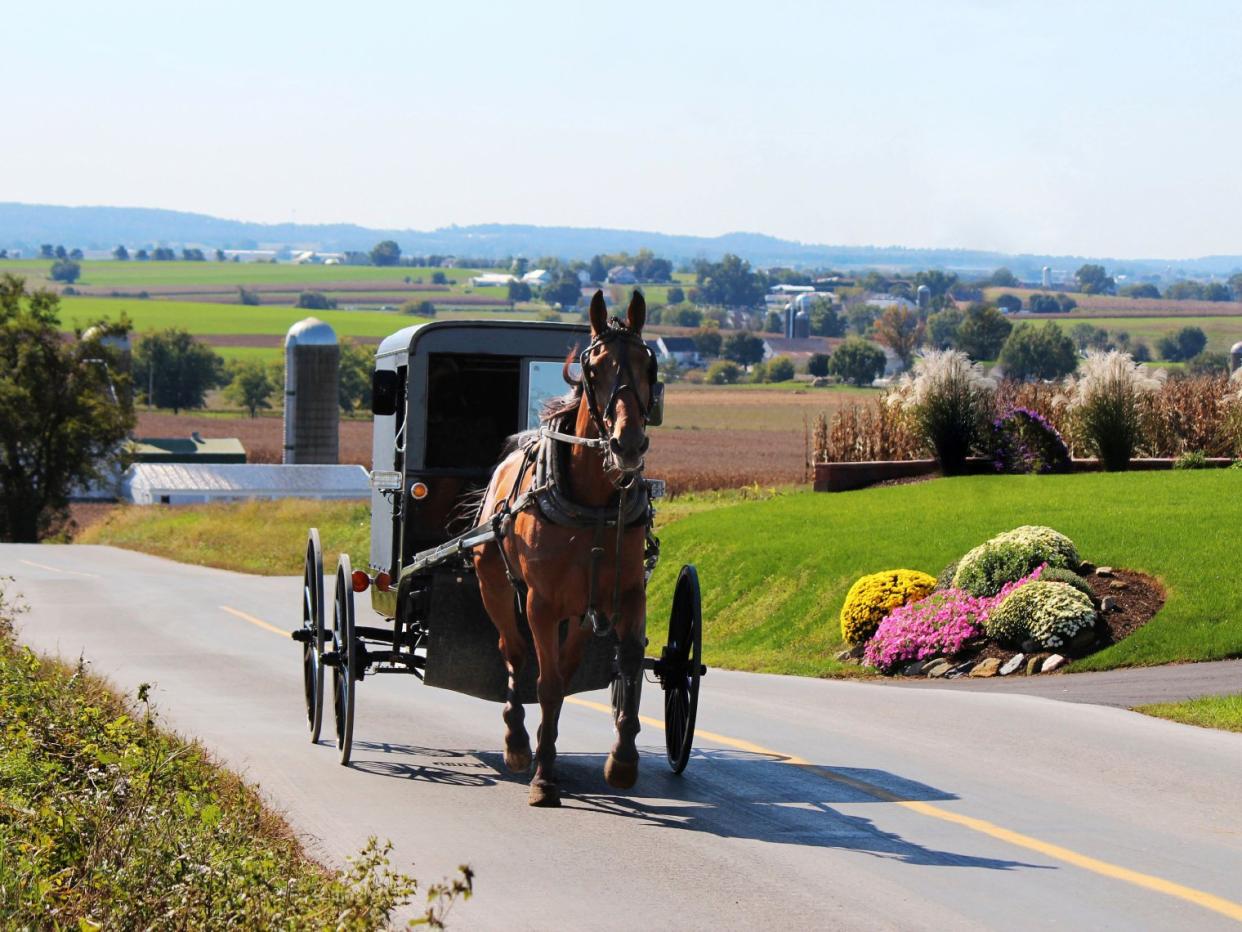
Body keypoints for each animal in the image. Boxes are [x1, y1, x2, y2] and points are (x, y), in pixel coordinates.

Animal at [469, 292, 655, 810]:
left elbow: (629, 663)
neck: (593, 504)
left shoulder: (626, 594)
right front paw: (543, 775)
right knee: (513, 653)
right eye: (594, 367)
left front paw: (623, 760)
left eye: (648, 364)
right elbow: (546, 684)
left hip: (581, 612)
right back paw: (517, 742)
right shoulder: (542, 603)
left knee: (566, 665)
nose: (628, 444)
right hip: (496, 589)